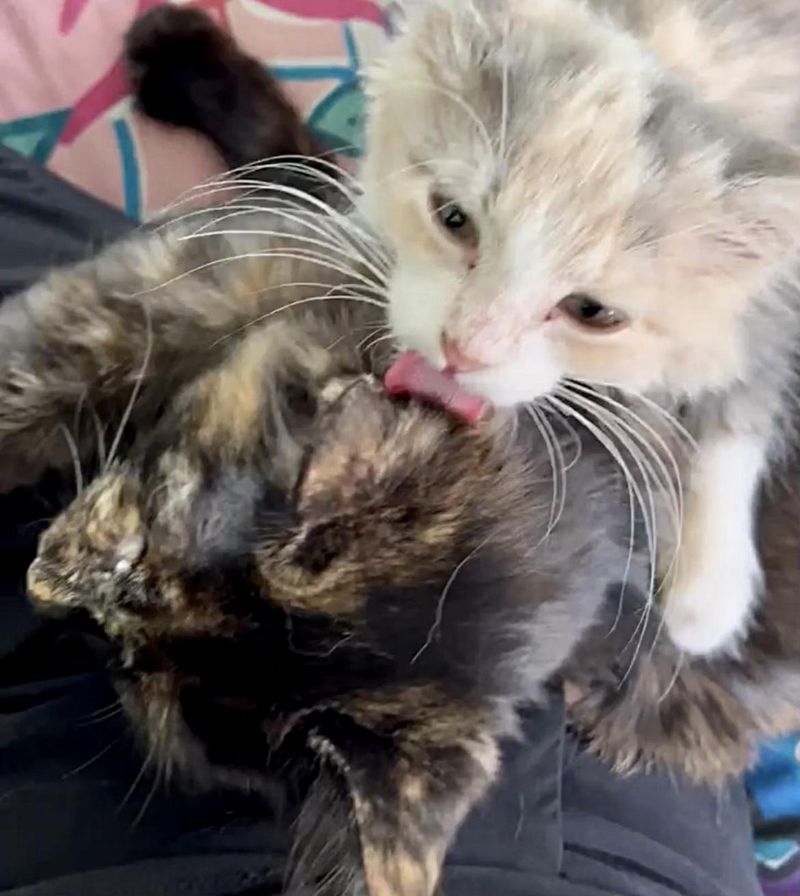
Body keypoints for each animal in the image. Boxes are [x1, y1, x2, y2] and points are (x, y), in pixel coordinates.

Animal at [360, 0, 800, 656]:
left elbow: (740, 409)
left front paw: (708, 587)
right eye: (452, 217)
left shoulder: (778, 302)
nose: (464, 348)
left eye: (592, 313)